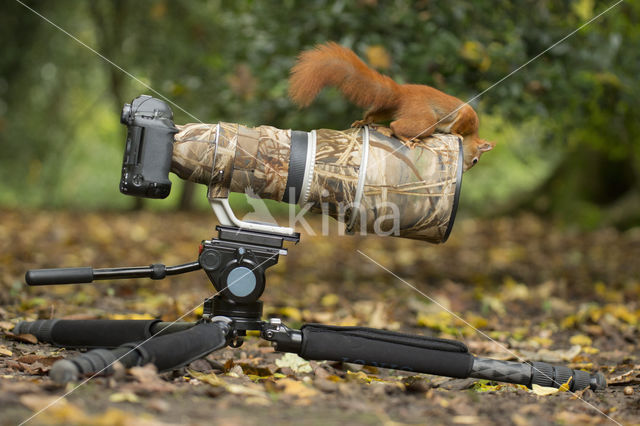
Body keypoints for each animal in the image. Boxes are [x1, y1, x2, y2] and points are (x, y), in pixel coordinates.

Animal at [290, 42, 496, 170]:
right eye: (475, 160)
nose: (466, 169)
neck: (473, 133)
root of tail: (402, 92)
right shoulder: (467, 115)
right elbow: (458, 125)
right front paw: (457, 135)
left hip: (388, 108)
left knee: (376, 115)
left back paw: (363, 121)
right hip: (425, 120)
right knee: (395, 126)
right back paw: (406, 138)